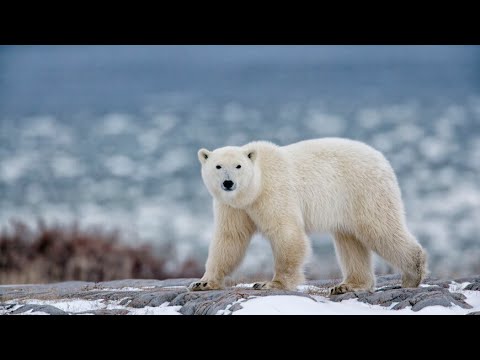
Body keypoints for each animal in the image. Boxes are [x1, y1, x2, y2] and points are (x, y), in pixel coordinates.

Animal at [188, 139, 428, 296]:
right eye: (218, 166)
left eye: (238, 166)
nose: (228, 183)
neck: (255, 188)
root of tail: (382, 158)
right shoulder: (232, 206)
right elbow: (230, 238)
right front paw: (203, 283)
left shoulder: (274, 192)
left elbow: (286, 233)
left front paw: (271, 284)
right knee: (349, 240)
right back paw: (347, 285)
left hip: (364, 190)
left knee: (380, 228)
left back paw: (412, 273)